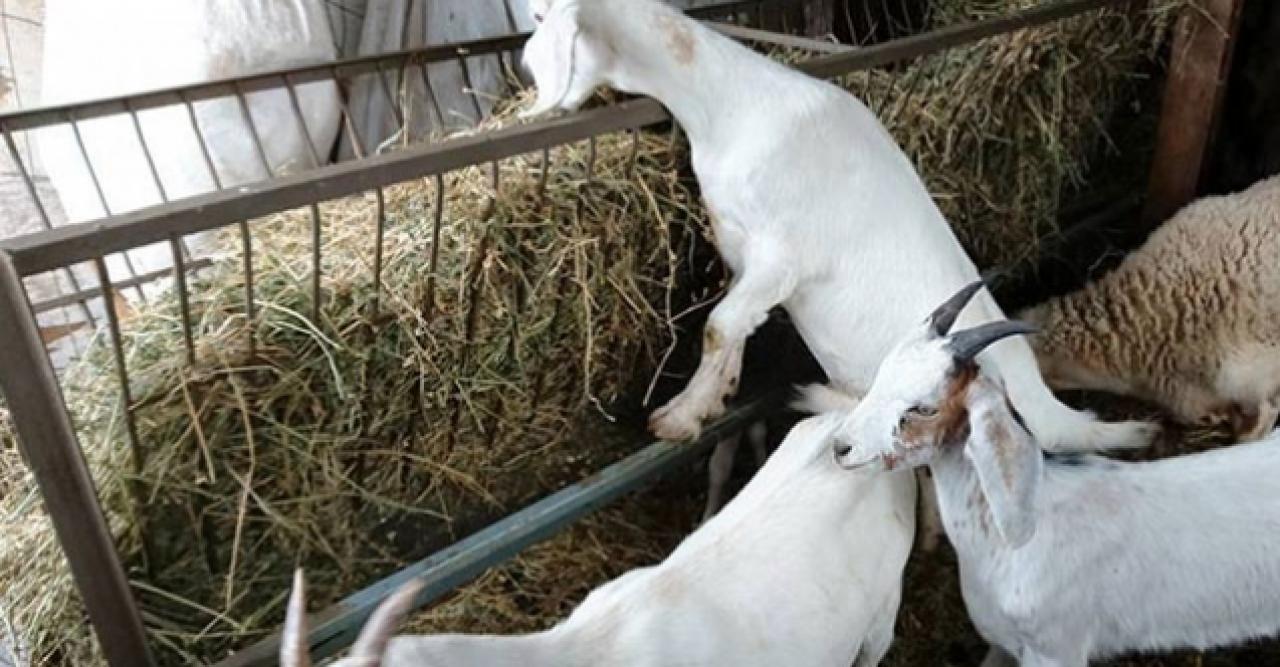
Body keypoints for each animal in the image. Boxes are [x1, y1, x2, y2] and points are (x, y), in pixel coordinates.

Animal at [514, 0, 1157, 453]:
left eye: (542, 18)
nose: (522, 67)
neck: (731, 107)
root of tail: (1049, 409)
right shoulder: (742, 252)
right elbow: (737, 326)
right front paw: (719, 393)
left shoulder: (782, 255)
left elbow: (719, 325)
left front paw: (677, 416)